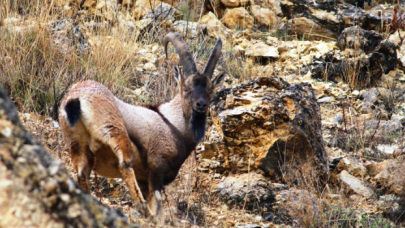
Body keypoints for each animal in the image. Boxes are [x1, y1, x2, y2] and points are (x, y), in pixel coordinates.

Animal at [59, 32, 224, 221]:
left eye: (210, 89)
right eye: (186, 88)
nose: (201, 104)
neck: (173, 123)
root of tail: (77, 99)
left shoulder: (145, 180)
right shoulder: (156, 167)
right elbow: (158, 203)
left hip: (77, 144)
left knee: (81, 175)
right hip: (114, 132)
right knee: (124, 165)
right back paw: (143, 208)